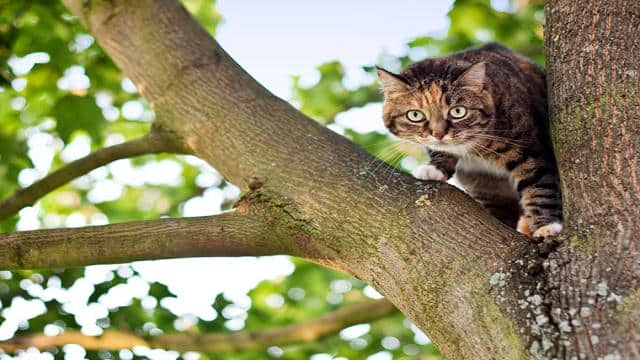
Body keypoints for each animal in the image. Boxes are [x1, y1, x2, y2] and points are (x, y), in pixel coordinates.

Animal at [378, 43, 564, 239]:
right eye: (415, 115)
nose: (438, 133)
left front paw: (546, 226)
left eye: (458, 111)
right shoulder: (486, 185)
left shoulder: (531, 149)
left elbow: (539, 187)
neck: (474, 149)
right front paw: (435, 169)